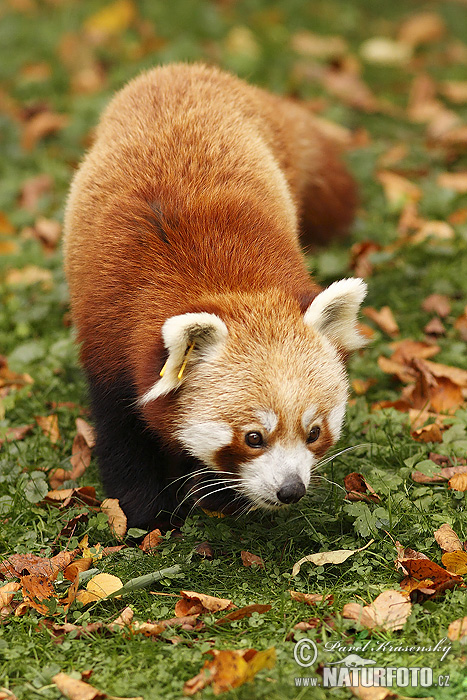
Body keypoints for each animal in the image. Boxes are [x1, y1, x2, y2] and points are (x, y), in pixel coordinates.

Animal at [64, 63, 368, 528]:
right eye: (254, 437)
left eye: (314, 431)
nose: (291, 490)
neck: (220, 284)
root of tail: (185, 68)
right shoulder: (107, 329)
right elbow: (123, 433)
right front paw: (145, 514)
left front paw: (221, 497)